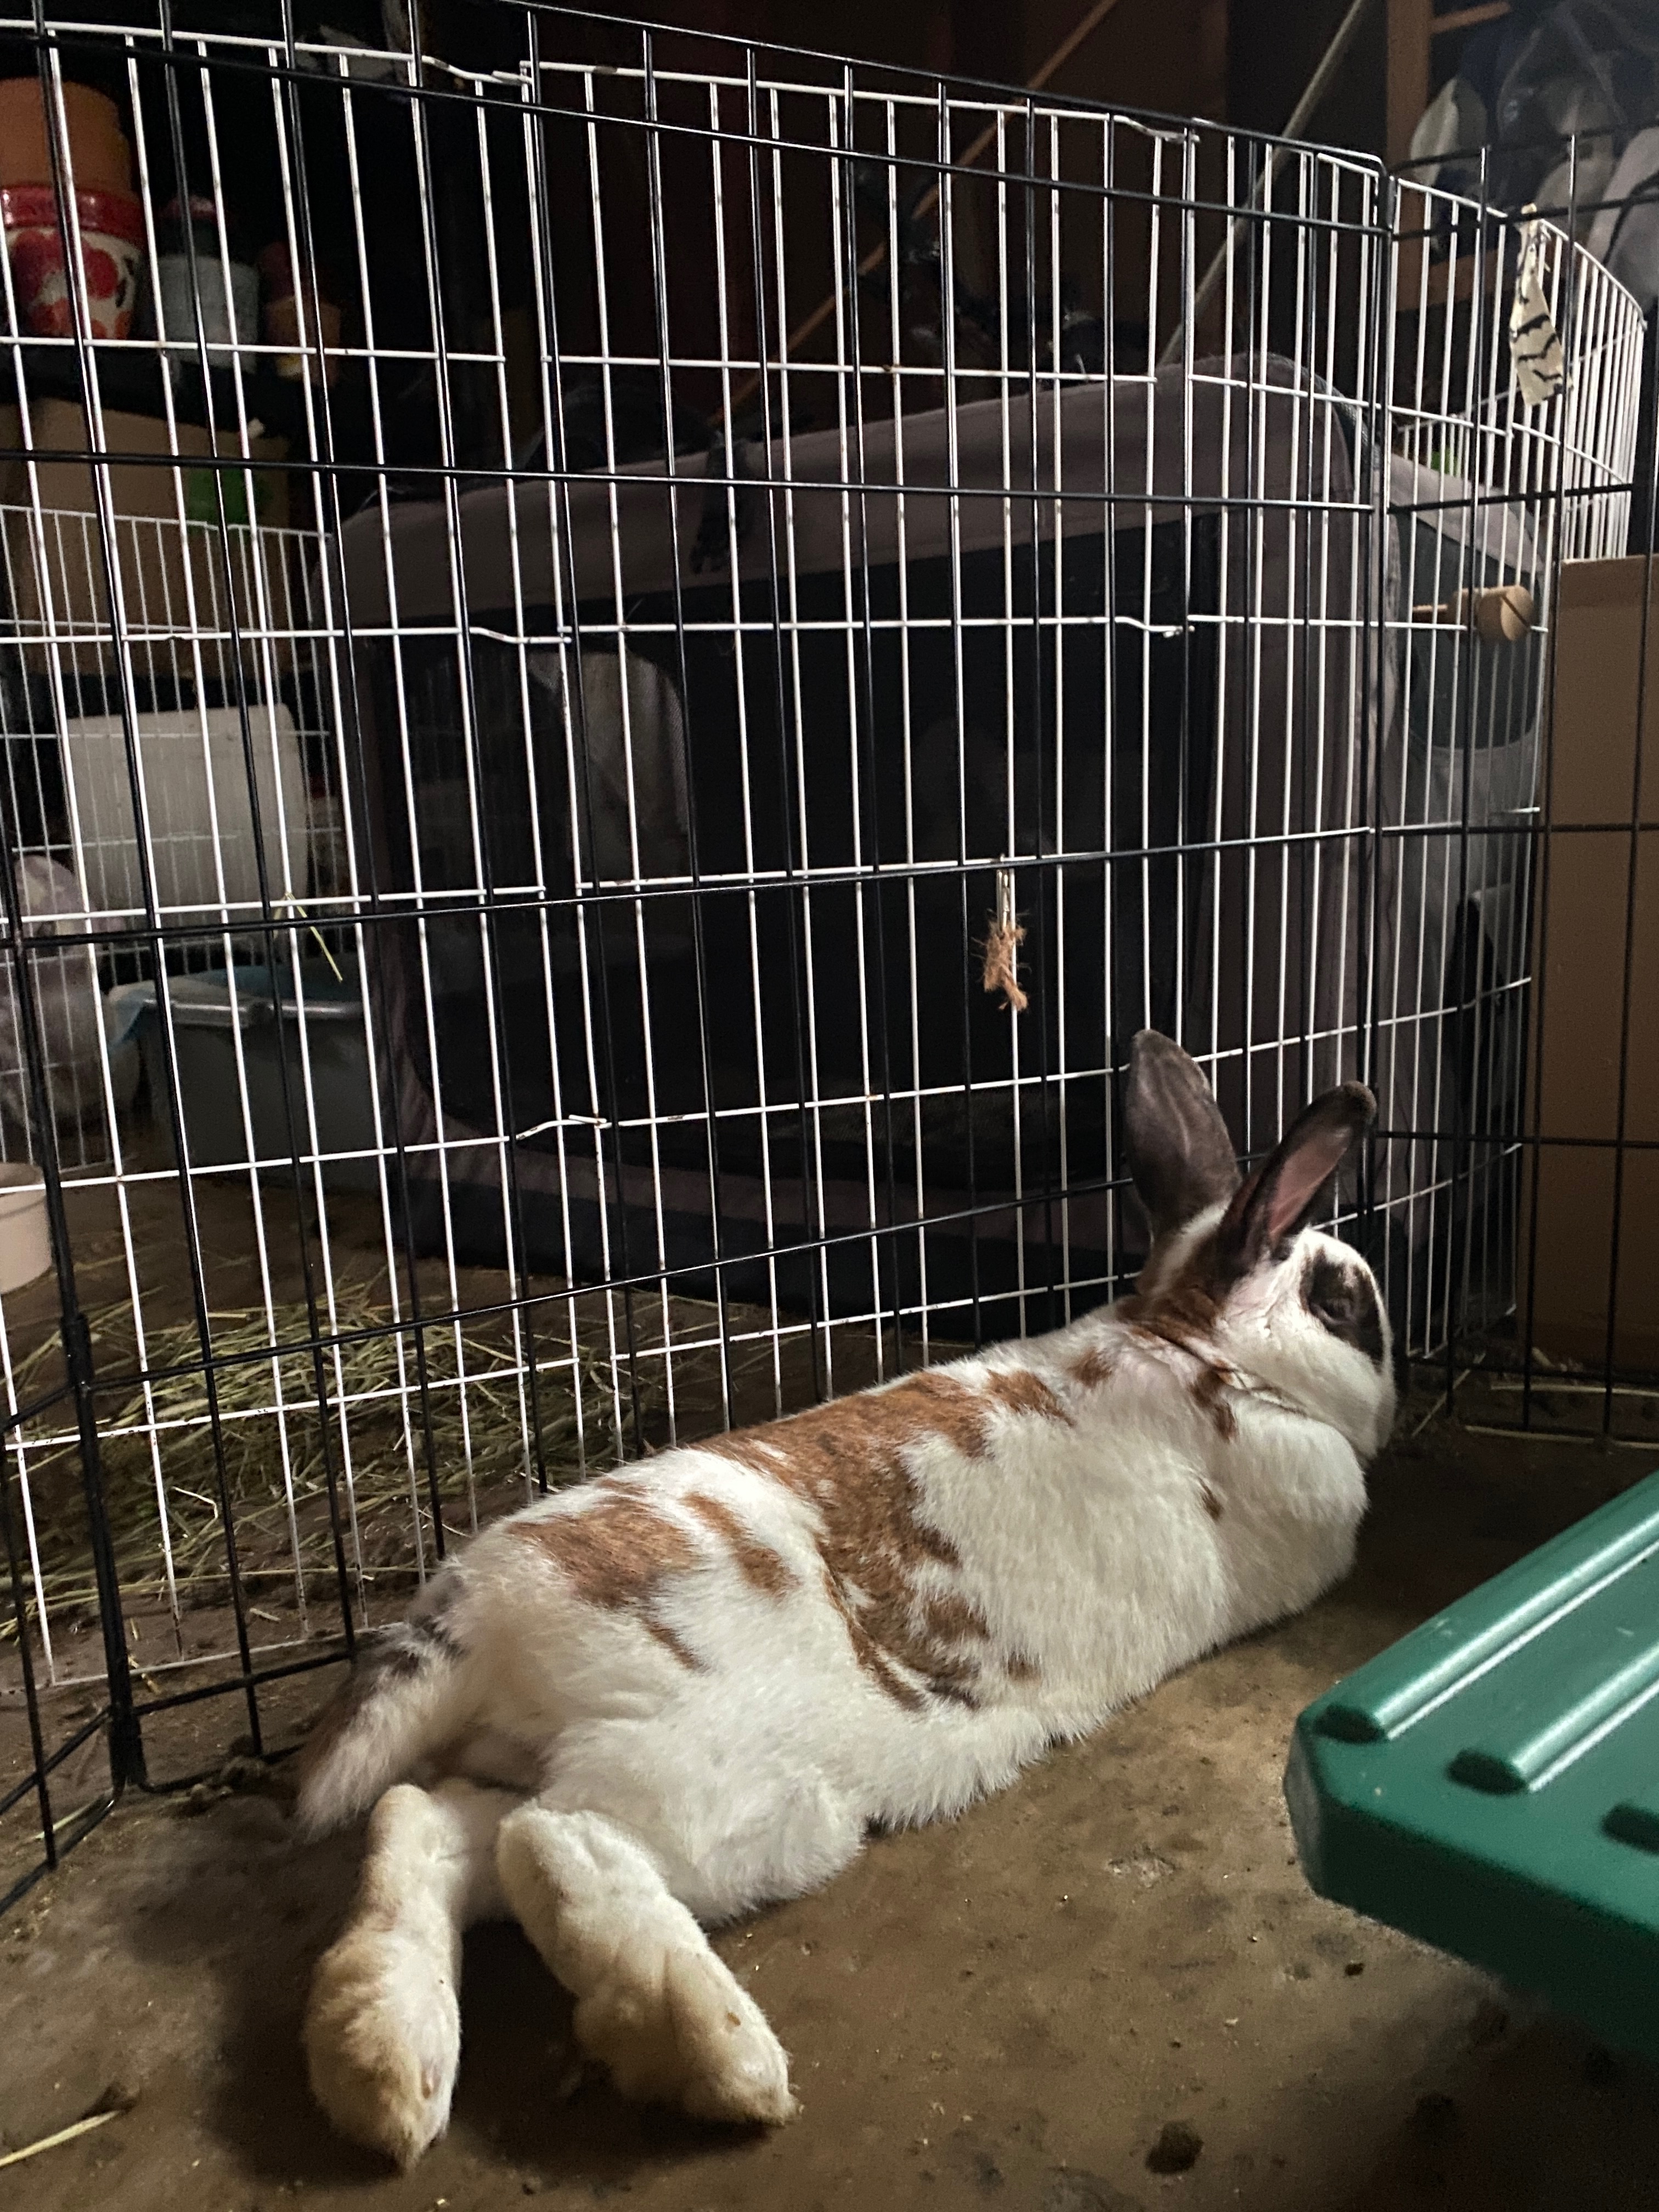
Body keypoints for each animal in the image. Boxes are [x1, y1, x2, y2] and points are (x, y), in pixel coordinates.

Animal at [293, 1030, 1394, 2169]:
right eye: (1343, 1302)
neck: (1198, 1347)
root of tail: (473, 1615)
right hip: (717, 1789)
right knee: (549, 1842)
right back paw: (714, 2055)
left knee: (427, 1822)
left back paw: (379, 2070)